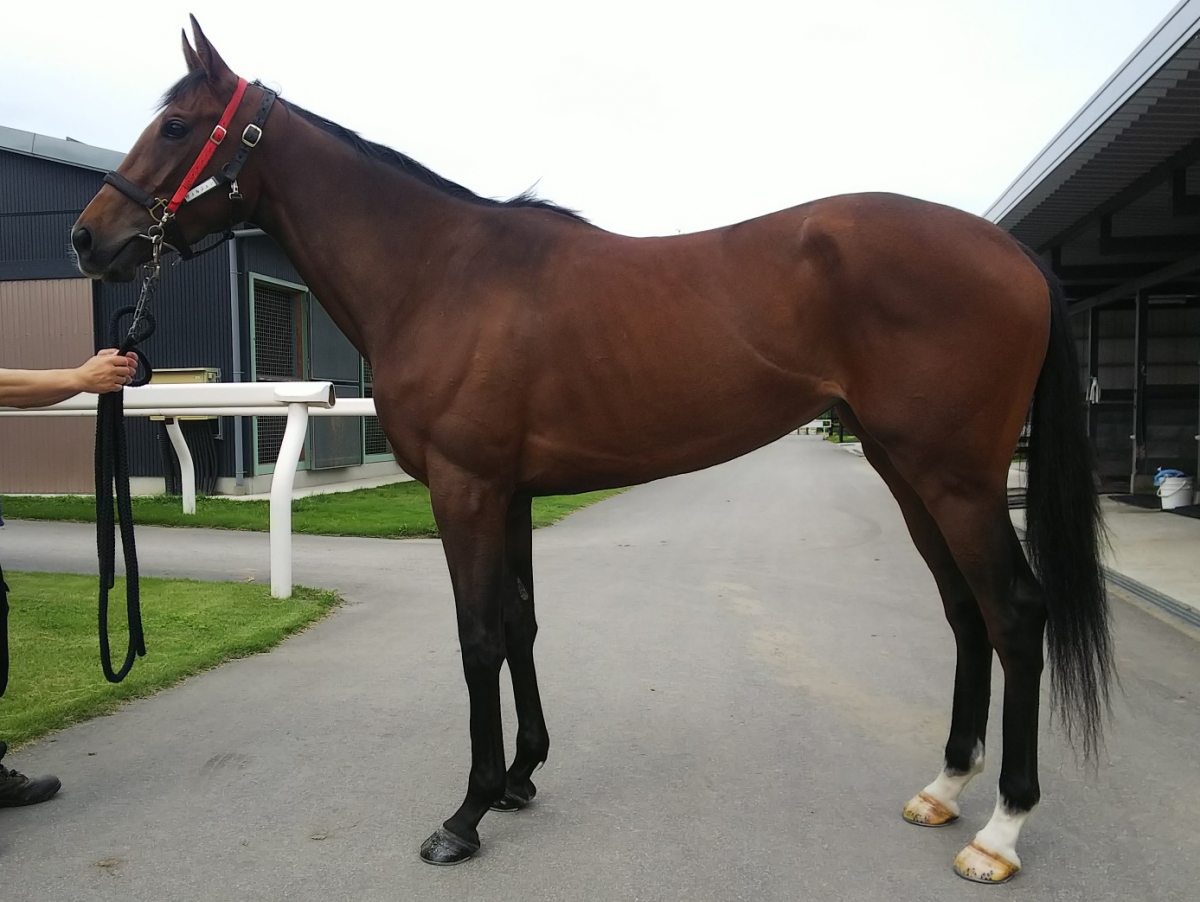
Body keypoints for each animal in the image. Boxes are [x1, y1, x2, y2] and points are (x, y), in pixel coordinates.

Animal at [71, 17, 1111, 884]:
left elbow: (477, 636)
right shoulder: (512, 491)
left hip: (954, 476)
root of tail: (1012, 252)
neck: (439, 271)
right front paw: (522, 776)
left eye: (176, 127)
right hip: (907, 470)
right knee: (966, 613)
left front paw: (465, 814)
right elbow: (521, 624)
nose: (89, 239)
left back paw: (999, 832)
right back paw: (943, 790)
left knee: (1016, 613)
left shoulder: (465, 488)